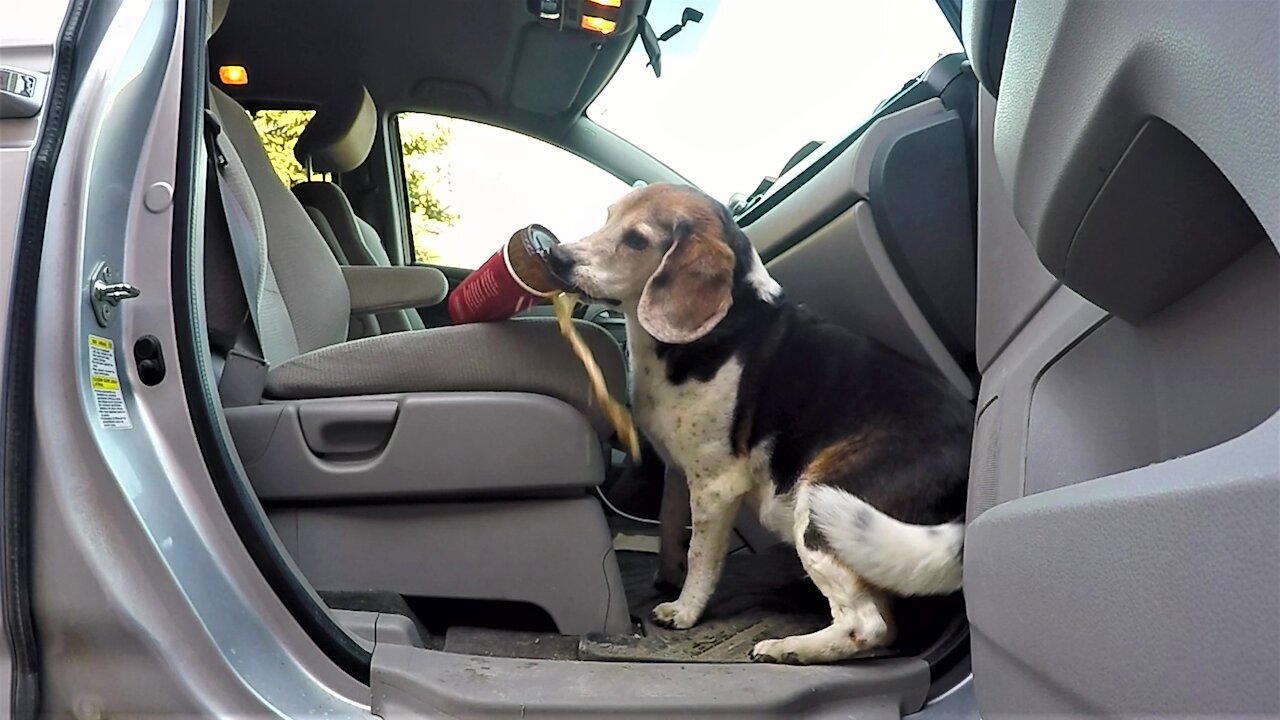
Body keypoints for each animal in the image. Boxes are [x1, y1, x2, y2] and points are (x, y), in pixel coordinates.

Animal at [550, 183, 967, 661]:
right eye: (608, 217)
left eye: (637, 239)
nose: (555, 255)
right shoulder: (678, 471)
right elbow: (671, 529)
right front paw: (668, 579)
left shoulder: (715, 487)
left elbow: (701, 555)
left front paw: (685, 610)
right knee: (885, 626)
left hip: (824, 506)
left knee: (867, 625)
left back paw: (787, 648)